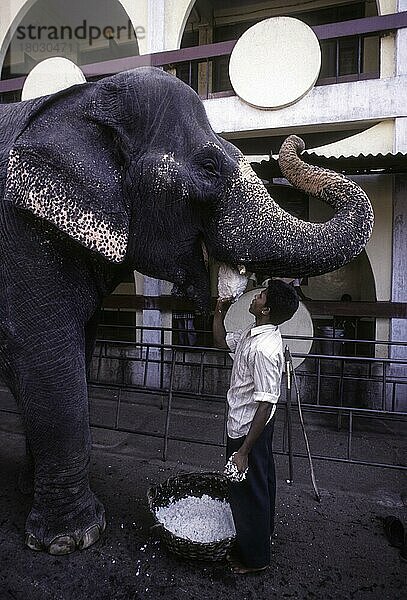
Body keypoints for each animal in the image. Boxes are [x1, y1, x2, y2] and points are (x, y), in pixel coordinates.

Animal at [0, 65, 372, 552]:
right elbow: (44, 354)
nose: (299, 141)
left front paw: (37, 499)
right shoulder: (21, 233)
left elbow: (74, 347)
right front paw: (73, 540)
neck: (81, 98)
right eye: (210, 167)